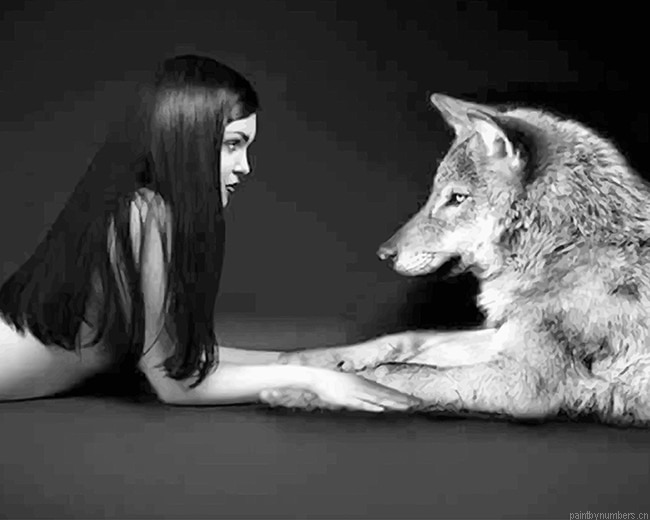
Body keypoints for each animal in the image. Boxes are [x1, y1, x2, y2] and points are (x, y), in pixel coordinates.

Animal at [266, 93, 650, 427]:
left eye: (457, 199)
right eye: (435, 194)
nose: (384, 254)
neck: (564, 248)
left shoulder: (523, 382)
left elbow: (392, 372)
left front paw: (307, 388)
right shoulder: (503, 335)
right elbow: (407, 339)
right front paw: (303, 363)